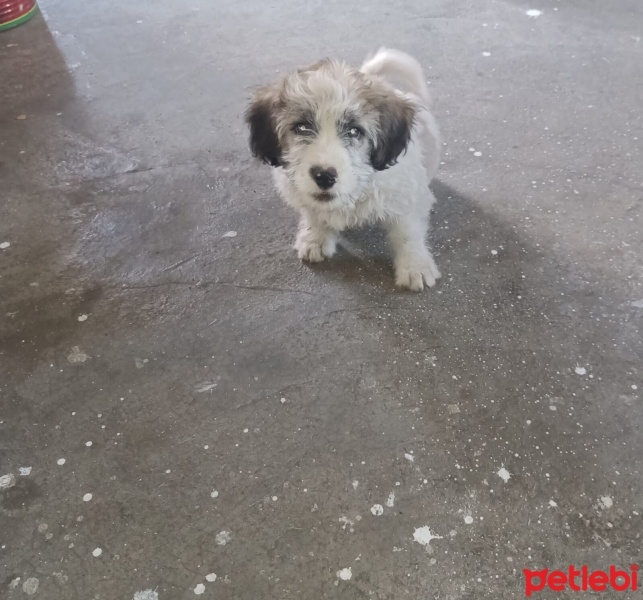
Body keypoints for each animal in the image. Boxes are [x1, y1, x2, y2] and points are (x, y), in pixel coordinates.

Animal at [247, 47, 442, 290]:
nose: (324, 176)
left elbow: (408, 231)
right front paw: (315, 238)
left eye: (354, 131)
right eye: (301, 127)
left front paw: (414, 266)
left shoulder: (407, 199)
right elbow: (314, 215)